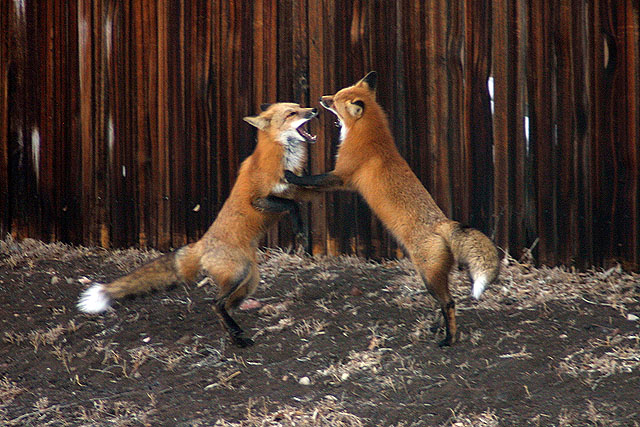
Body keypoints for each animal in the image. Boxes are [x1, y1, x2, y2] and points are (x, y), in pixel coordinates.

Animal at [79, 103, 318, 348]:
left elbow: (304, 193)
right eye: (291, 114)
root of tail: (201, 244)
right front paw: (300, 232)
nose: (314, 110)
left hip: (250, 280)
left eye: (299, 107)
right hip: (240, 273)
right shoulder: (260, 200)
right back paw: (238, 337)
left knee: (224, 306)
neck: (280, 156)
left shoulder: (294, 188)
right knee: (215, 303)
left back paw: (236, 332)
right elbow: (292, 206)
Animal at [284, 72, 500, 348]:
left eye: (335, 101)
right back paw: (436, 327)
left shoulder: (341, 177)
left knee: (449, 303)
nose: (321, 98)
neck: (369, 137)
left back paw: (449, 339)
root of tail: (442, 223)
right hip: (433, 275)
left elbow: (313, 180)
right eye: (336, 94)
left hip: (428, 275)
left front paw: (291, 176)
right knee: (446, 302)